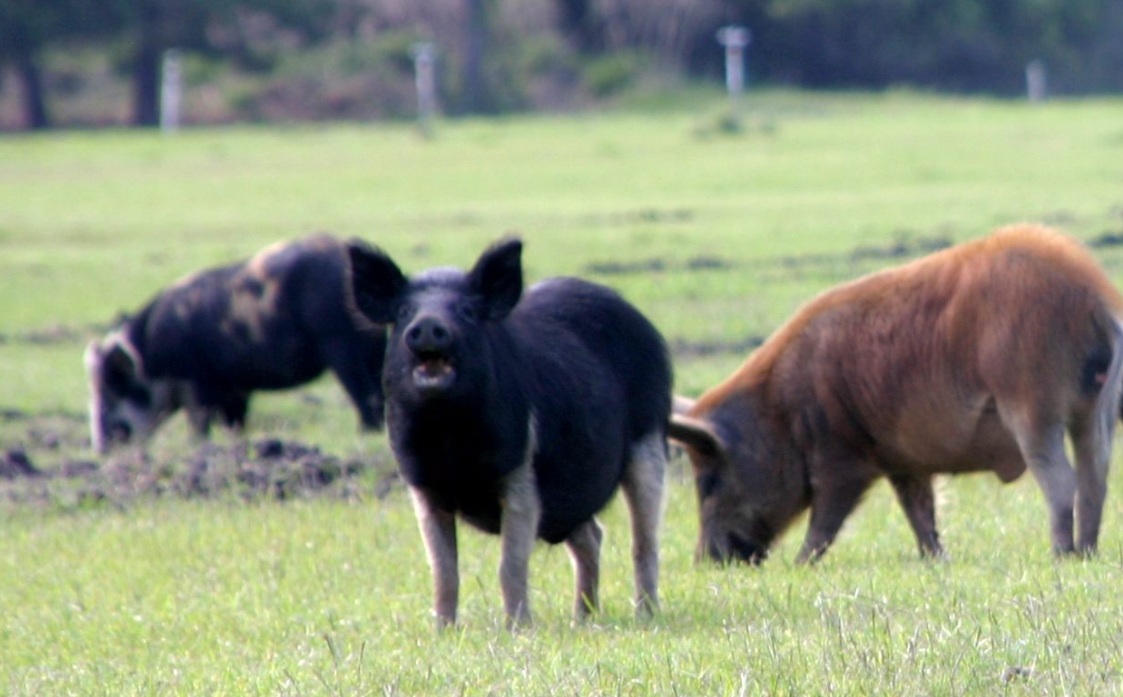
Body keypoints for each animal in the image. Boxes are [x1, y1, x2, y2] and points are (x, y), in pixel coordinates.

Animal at [85, 234, 386, 453]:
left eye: (113, 389)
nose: (101, 450)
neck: (152, 355)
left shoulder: (197, 382)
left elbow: (199, 421)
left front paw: (198, 446)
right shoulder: (234, 388)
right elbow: (234, 422)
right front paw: (236, 443)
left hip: (341, 346)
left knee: (364, 396)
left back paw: (366, 435)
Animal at [346, 237, 671, 627]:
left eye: (467, 311)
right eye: (405, 311)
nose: (427, 324)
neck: (448, 435)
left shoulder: (522, 473)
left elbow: (510, 565)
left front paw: (518, 628)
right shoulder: (423, 486)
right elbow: (443, 570)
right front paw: (442, 629)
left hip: (649, 439)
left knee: (644, 540)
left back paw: (646, 616)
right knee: (592, 536)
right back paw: (582, 618)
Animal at [669, 224, 1123, 564]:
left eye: (707, 480)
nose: (704, 560)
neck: (780, 412)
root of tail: (1098, 299)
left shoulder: (841, 457)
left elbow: (826, 519)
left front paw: (798, 565)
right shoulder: (902, 461)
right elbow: (919, 511)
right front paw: (936, 560)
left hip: (1031, 403)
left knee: (1063, 480)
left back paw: (1060, 554)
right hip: (1092, 411)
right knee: (1095, 477)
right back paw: (1086, 552)